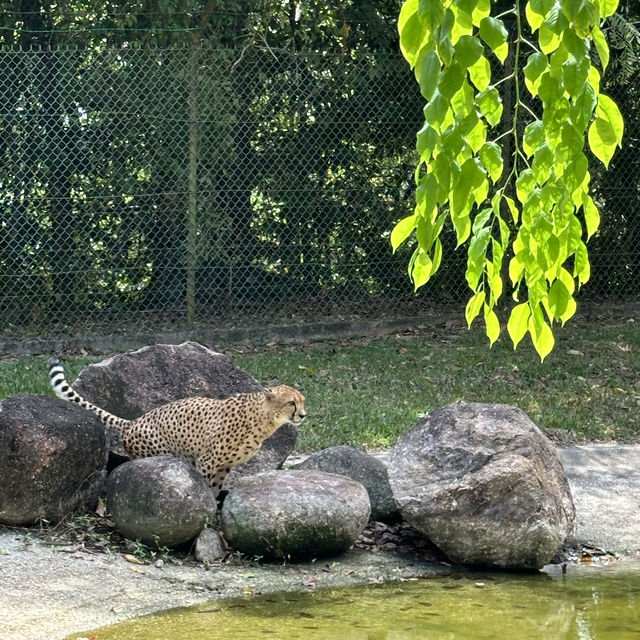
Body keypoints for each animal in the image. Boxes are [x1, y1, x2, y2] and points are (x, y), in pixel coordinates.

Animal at [47, 358, 304, 498]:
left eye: (302, 401)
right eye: (291, 402)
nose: (303, 415)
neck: (264, 419)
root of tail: (134, 421)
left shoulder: (223, 466)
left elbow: (215, 489)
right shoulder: (207, 462)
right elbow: (206, 487)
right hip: (159, 453)